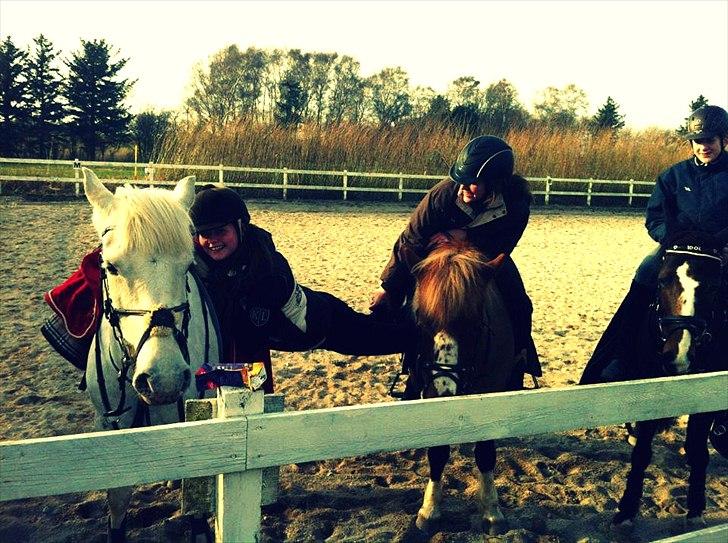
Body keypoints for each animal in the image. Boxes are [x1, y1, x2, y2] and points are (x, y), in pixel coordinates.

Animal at [409, 239, 519, 535]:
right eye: (421, 322)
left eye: (474, 326)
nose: (444, 390)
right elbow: (438, 451)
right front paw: (430, 510)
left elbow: (485, 452)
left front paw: (491, 511)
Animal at [612, 230, 728, 529]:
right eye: (663, 280)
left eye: (714, 288)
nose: (679, 354)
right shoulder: (649, 393)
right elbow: (642, 453)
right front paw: (626, 510)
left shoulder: (708, 396)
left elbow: (699, 450)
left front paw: (696, 512)